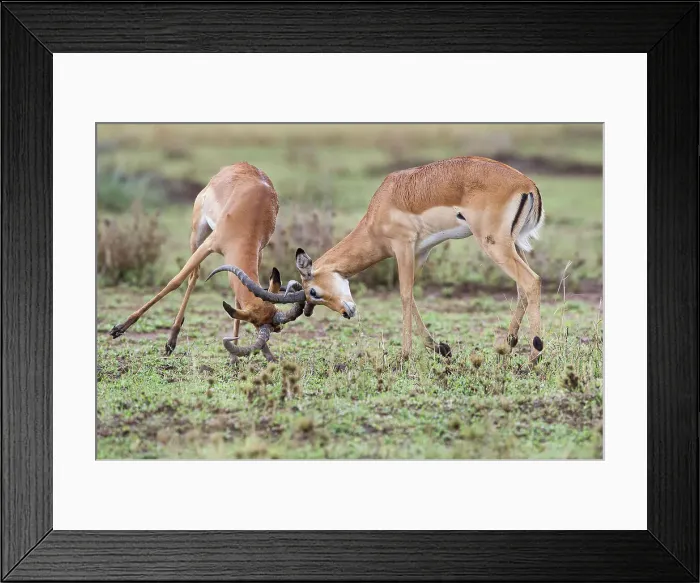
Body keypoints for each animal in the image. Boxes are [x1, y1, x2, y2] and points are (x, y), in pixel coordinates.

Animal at [108, 162, 306, 362]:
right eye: (257, 322)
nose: (278, 329)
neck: (250, 218)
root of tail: (238, 165)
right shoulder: (209, 244)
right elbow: (175, 282)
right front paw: (119, 328)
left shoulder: (259, 252)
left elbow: (237, 298)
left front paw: (235, 357)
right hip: (197, 235)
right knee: (193, 276)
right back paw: (170, 340)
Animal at [225, 156, 545, 363]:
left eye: (313, 291)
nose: (347, 312)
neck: (381, 206)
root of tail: (527, 183)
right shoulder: (420, 253)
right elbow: (412, 296)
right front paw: (439, 348)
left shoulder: (403, 247)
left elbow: (403, 295)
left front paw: (403, 356)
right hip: (514, 244)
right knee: (522, 287)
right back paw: (511, 343)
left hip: (494, 245)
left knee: (531, 281)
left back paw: (534, 354)